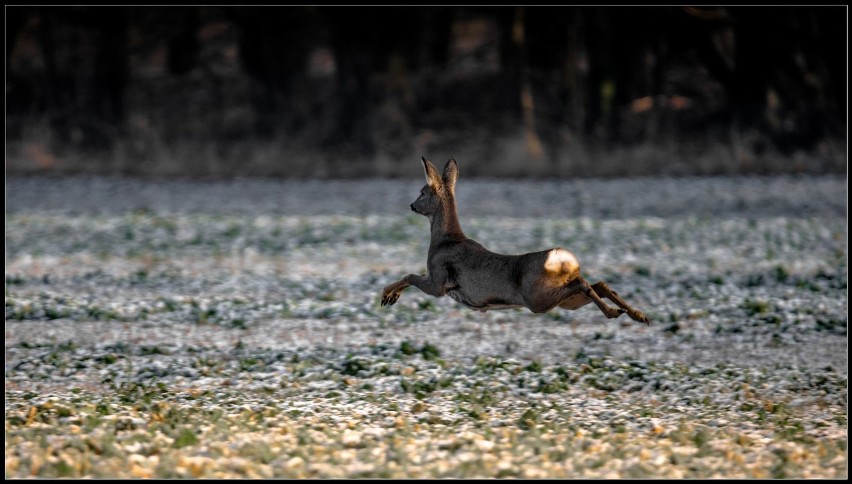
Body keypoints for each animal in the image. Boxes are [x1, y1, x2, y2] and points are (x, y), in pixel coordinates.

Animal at [380, 158, 652, 326]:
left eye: (422, 192)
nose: (412, 205)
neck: (445, 239)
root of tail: (561, 258)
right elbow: (409, 276)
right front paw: (389, 297)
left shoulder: (438, 282)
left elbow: (409, 276)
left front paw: (387, 296)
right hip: (563, 301)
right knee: (599, 284)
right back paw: (638, 315)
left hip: (537, 298)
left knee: (584, 285)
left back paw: (616, 312)